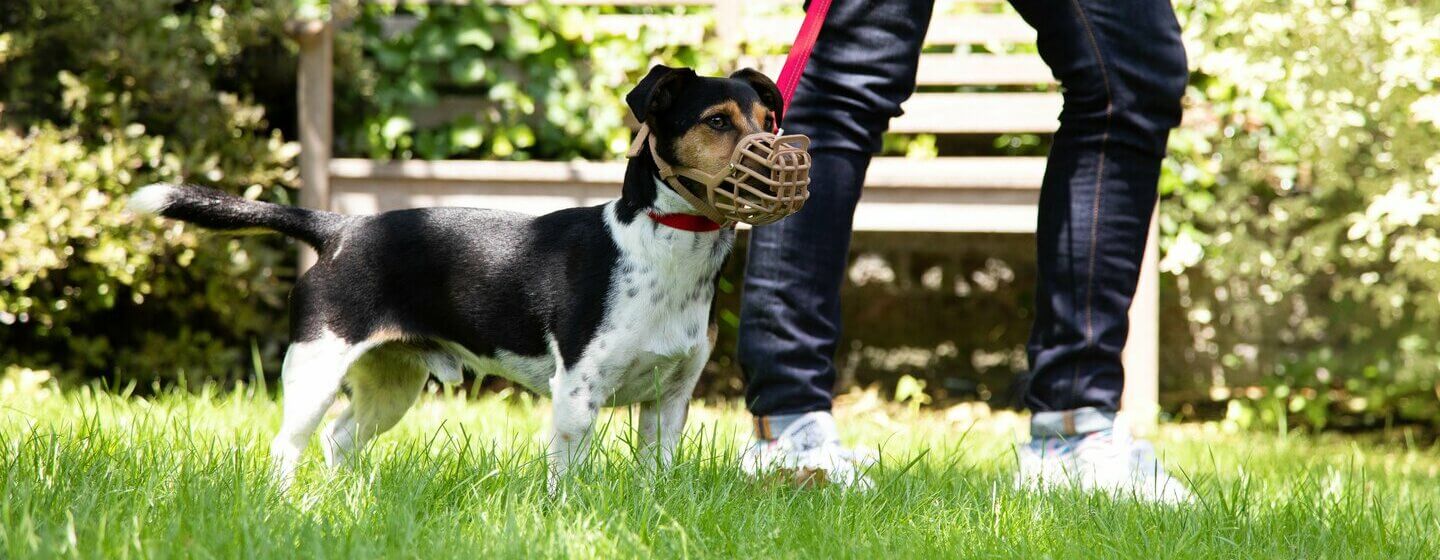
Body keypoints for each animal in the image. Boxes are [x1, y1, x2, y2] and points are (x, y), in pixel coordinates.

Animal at [131, 65, 789, 483]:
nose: (780, 157)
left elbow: (656, 479)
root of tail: (339, 228)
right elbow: (566, 479)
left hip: (391, 383)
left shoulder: (668, 400)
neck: (660, 246)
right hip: (316, 369)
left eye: (769, 120)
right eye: (717, 122)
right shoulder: (577, 395)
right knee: (286, 448)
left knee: (340, 439)